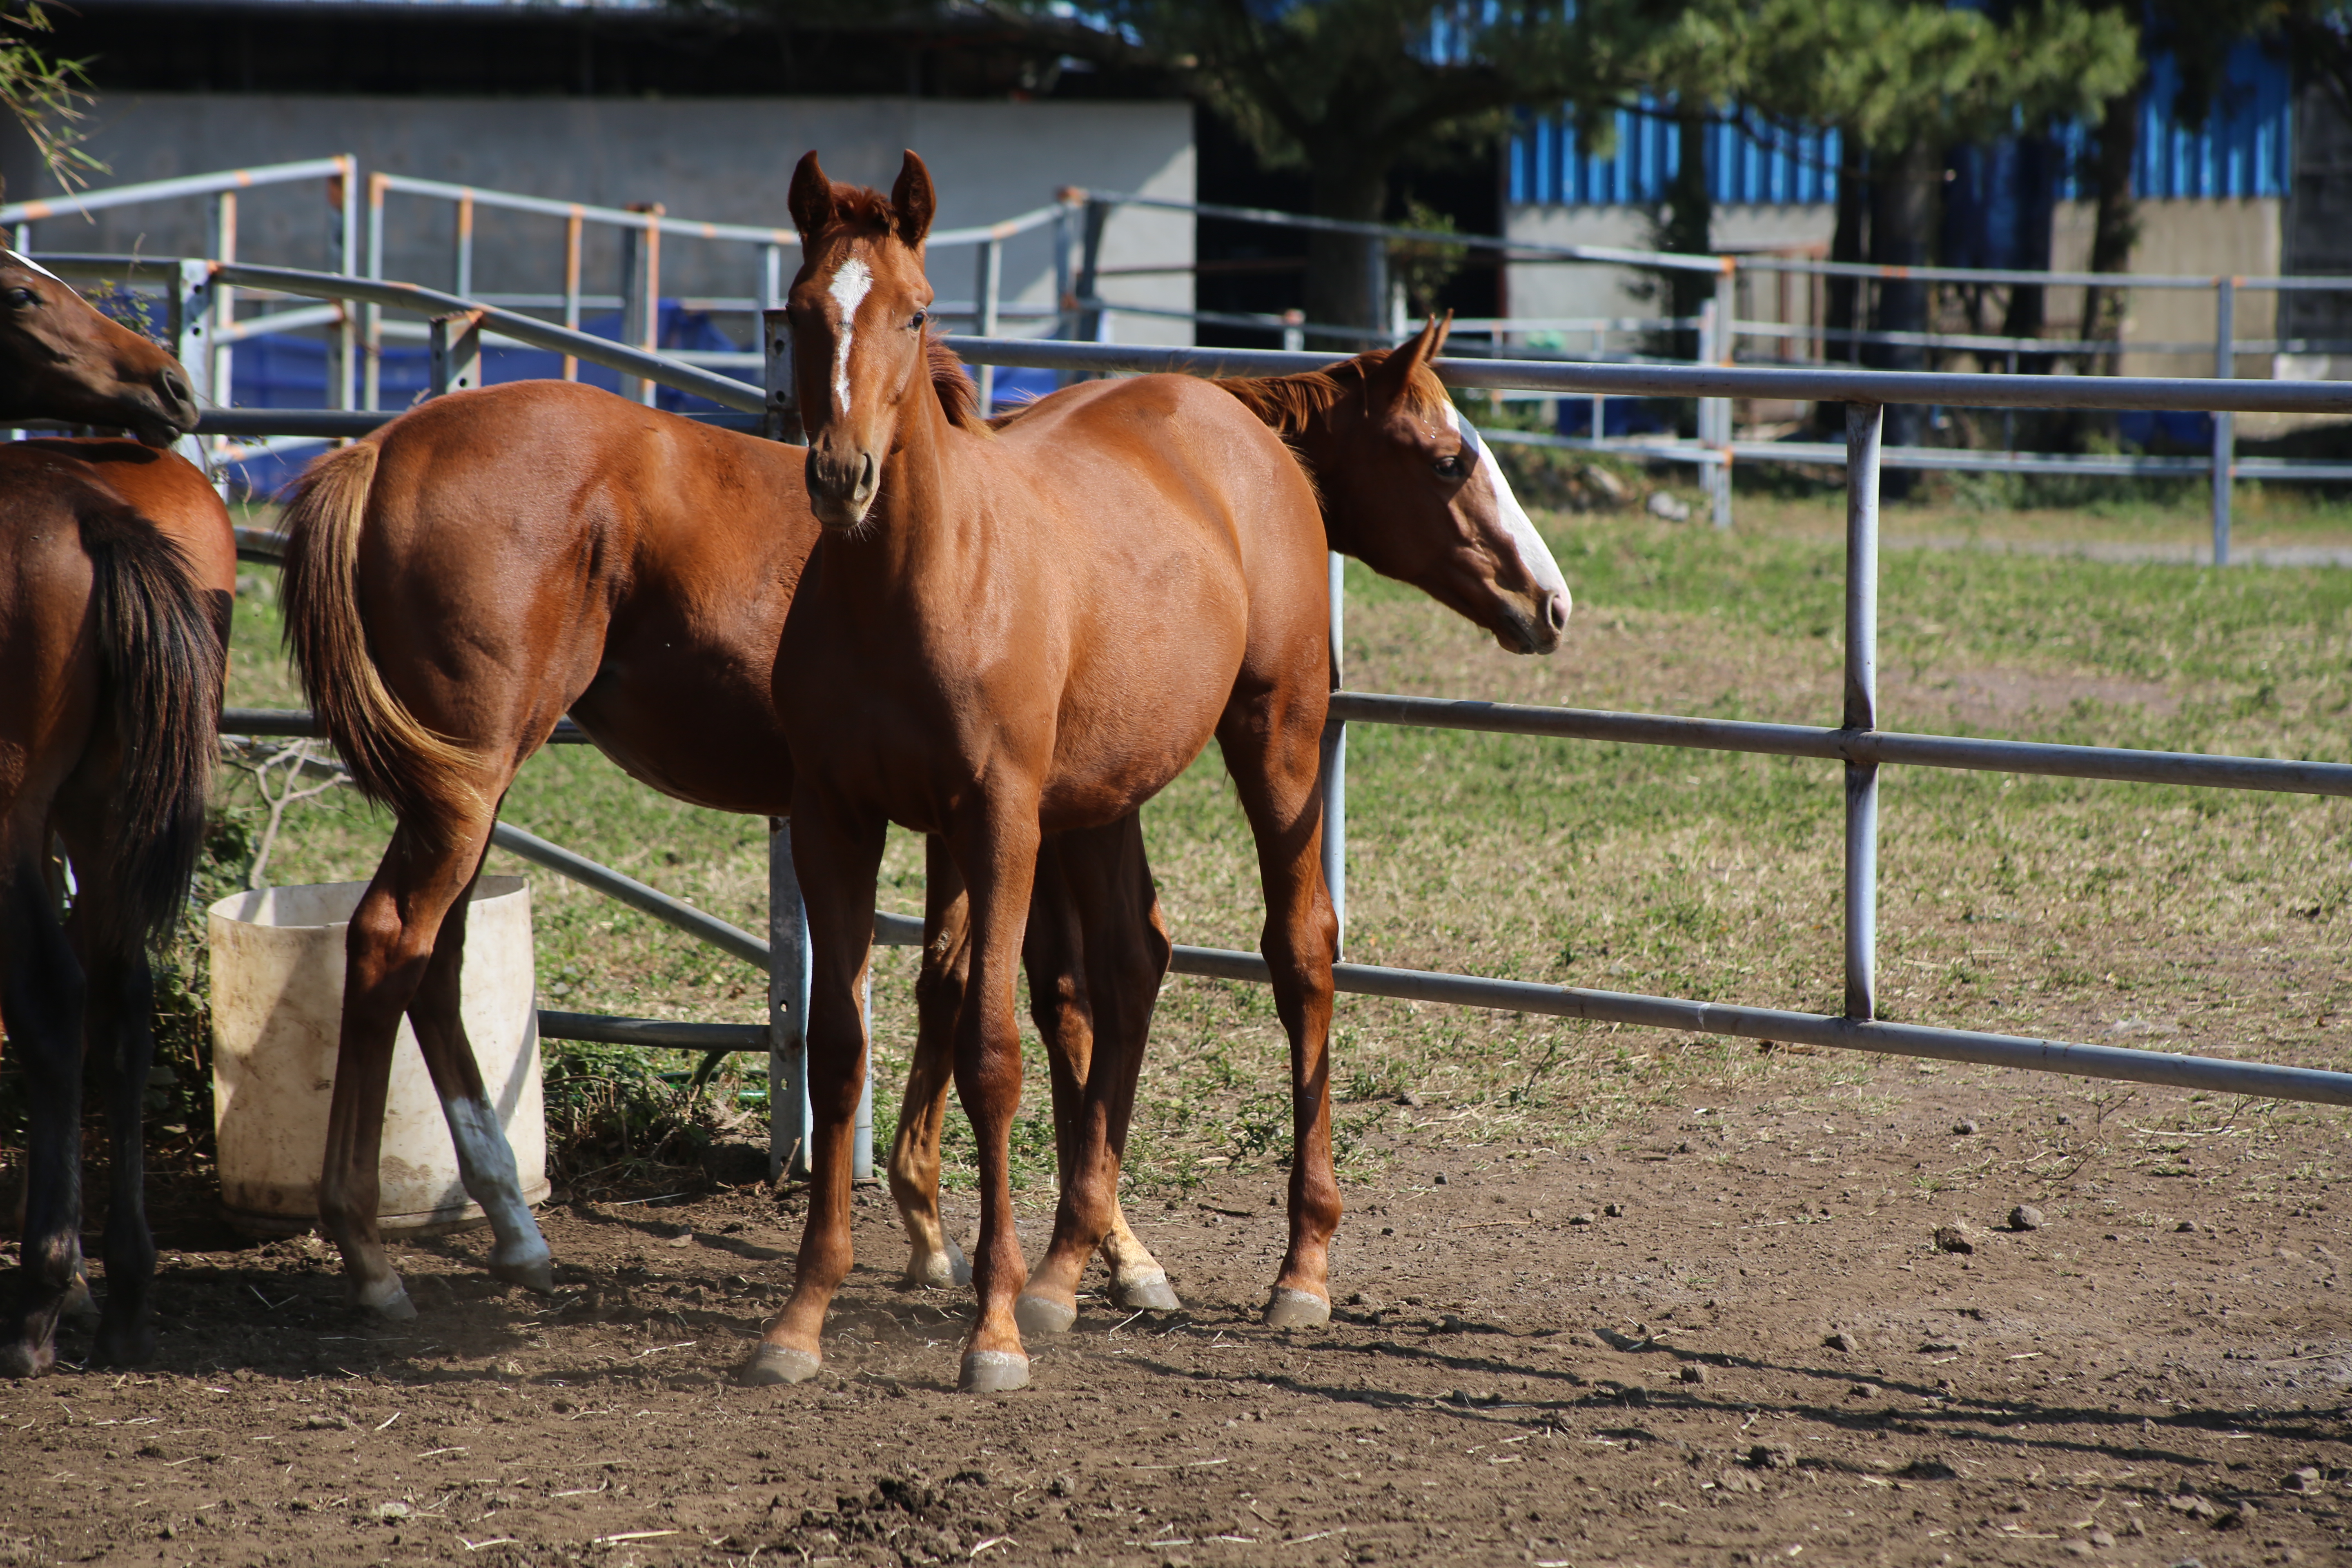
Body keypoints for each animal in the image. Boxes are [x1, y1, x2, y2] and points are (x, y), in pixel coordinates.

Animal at [270, 329, 1561, 1335]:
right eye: (1451, 456)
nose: (1547, 601)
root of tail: (381, 448)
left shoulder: (1001, 816)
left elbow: (996, 985)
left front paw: (1014, 1236)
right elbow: (1018, 993)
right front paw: (983, 1238)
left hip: (468, 795)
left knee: (432, 962)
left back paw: (510, 1225)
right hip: (468, 787)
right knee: (388, 943)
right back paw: (371, 1256)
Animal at [766, 150, 1354, 1401]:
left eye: (916, 310)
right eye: (799, 311)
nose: (842, 477)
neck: (914, 585)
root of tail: (1229, 418)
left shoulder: (996, 822)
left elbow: (990, 1055)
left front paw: (988, 1334)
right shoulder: (834, 820)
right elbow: (839, 1051)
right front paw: (798, 1321)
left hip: (1276, 737)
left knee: (1301, 955)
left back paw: (1300, 1270)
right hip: (1105, 794)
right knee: (1132, 967)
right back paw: (1068, 1272)